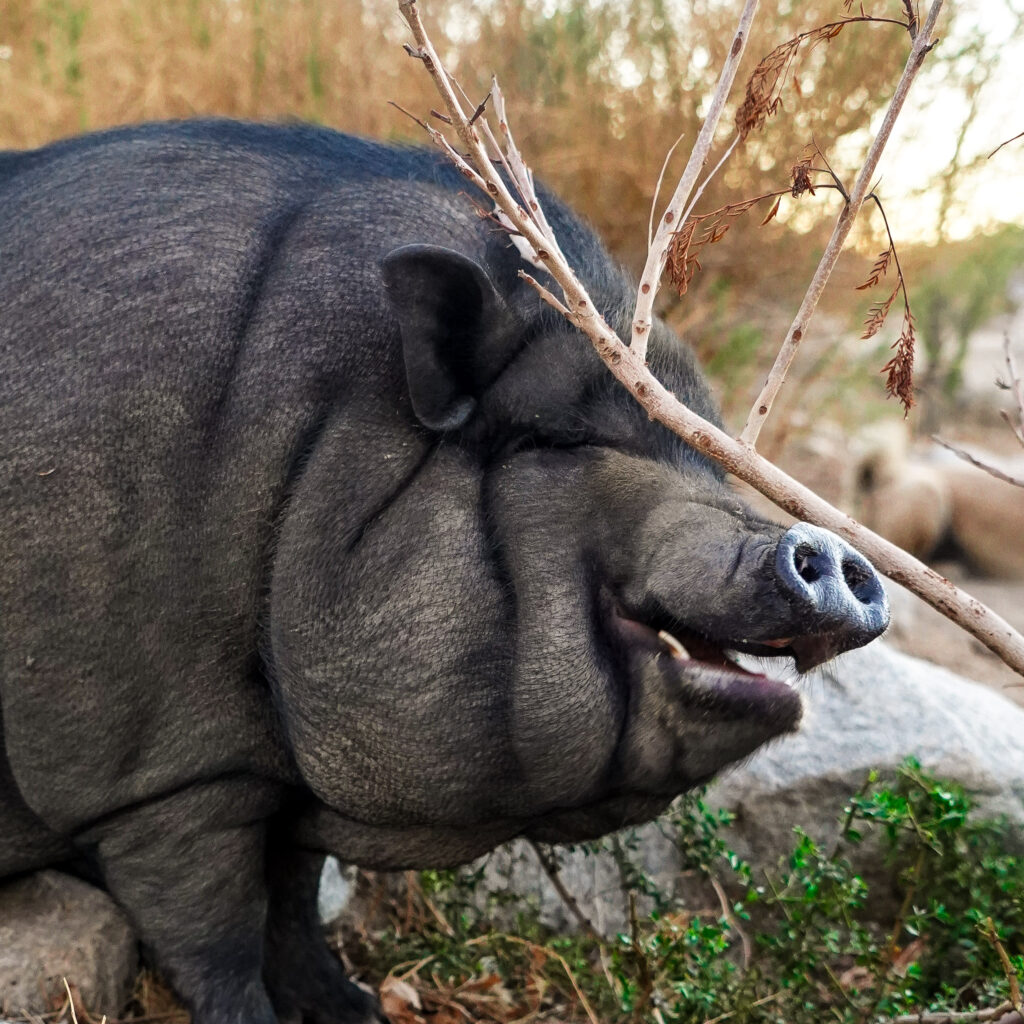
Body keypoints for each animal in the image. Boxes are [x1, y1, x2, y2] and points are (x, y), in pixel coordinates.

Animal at [0, 116, 888, 1019]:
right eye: (559, 436)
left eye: (708, 455)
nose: (836, 553)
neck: (303, 459)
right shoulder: (159, 773)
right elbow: (215, 937)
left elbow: (293, 896)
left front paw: (355, 1007)